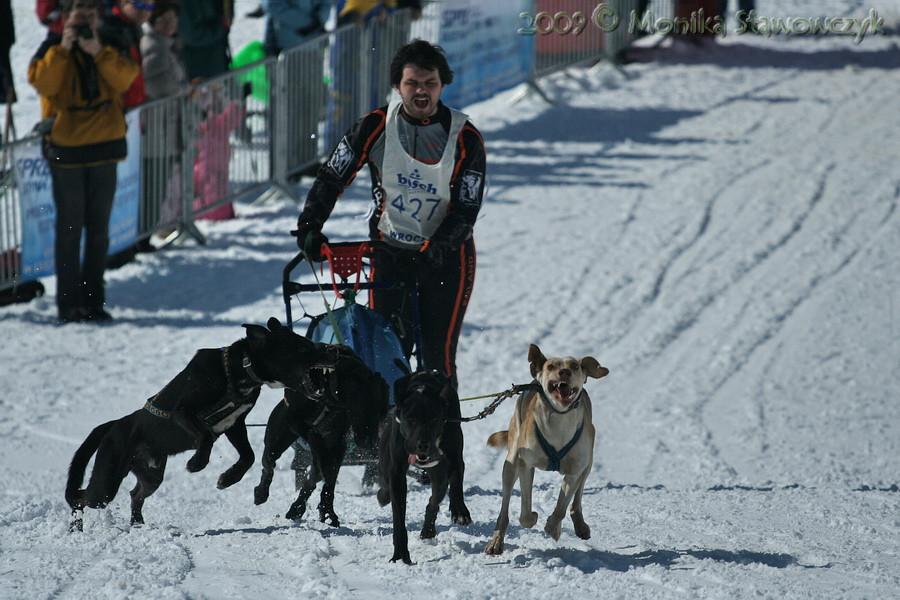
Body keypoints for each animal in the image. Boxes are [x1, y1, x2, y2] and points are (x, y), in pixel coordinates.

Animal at [65, 316, 336, 532]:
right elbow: (205, 437)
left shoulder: (235, 423)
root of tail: (115, 424)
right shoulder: (184, 411)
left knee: (135, 494)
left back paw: (138, 523)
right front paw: (196, 463)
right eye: (302, 347)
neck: (239, 370)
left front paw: (228, 478)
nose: (332, 350)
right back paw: (75, 527)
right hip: (107, 480)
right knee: (79, 498)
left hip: (151, 474)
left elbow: (247, 456)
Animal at [251, 346, 388, 524]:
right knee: (269, 465)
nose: (370, 442)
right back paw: (261, 492)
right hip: (276, 440)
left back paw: (297, 508)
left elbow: (329, 481)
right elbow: (312, 435)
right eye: (365, 407)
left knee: (312, 481)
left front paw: (328, 511)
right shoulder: (294, 418)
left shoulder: (338, 443)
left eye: (381, 411)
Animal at [376, 372, 472, 564]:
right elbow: (399, 517)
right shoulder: (396, 471)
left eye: (434, 419)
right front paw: (400, 554)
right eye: (411, 419)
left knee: (434, 501)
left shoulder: (455, 457)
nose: (423, 445)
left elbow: (456, 482)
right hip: (385, 464)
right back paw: (383, 496)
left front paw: (460, 510)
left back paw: (428, 530)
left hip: (439, 478)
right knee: (385, 485)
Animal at [486, 342, 612, 552]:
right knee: (505, 506)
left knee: (576, 499)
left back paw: (579, 524)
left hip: (588, 464)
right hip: (510, 462)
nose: (564, 372)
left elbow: (561, 508)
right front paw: (534, 517)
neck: (558, 425)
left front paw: (554, 527)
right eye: (551, 366)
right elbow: (525, 514)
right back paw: (496, 540)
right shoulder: (526, 464)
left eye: (575, 366)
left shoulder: (574, 471)